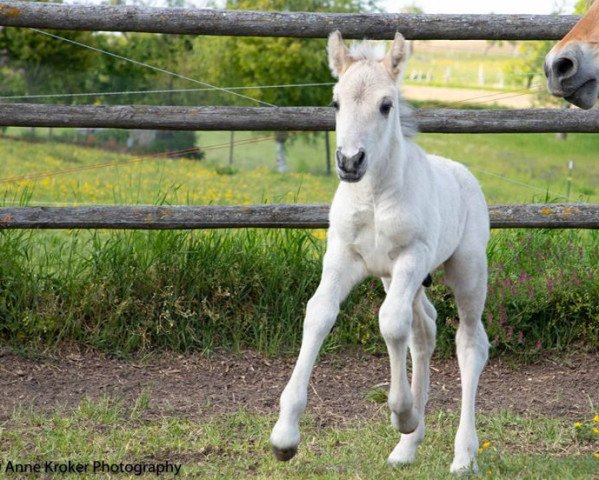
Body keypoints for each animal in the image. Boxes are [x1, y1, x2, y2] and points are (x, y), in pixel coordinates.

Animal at [272, 31, 492, 474]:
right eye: (336, 102)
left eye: (386, 105)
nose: (349, 161)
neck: (373, 196)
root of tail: (464, 174)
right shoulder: (343, 257)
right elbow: (319, 313)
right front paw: (285, 436)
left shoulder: (410, 256)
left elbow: (390, 323)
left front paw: (402, 413)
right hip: (403, 280)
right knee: (425, 330)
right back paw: (407, 447)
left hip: (467, 271)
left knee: (470, 343)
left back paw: (462, 455)